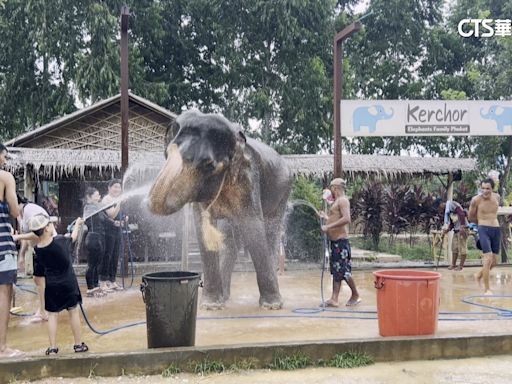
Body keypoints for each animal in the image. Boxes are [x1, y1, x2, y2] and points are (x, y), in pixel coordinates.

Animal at [148, 108, 292, 308]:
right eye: (166, 154)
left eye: (208, 164)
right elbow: (201, 226)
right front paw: (211, 306)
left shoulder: (248, 178)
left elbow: (252, 226)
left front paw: (271, 306)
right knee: (231, 237)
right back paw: (225, 297)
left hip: (283, 192)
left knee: (270, 232)